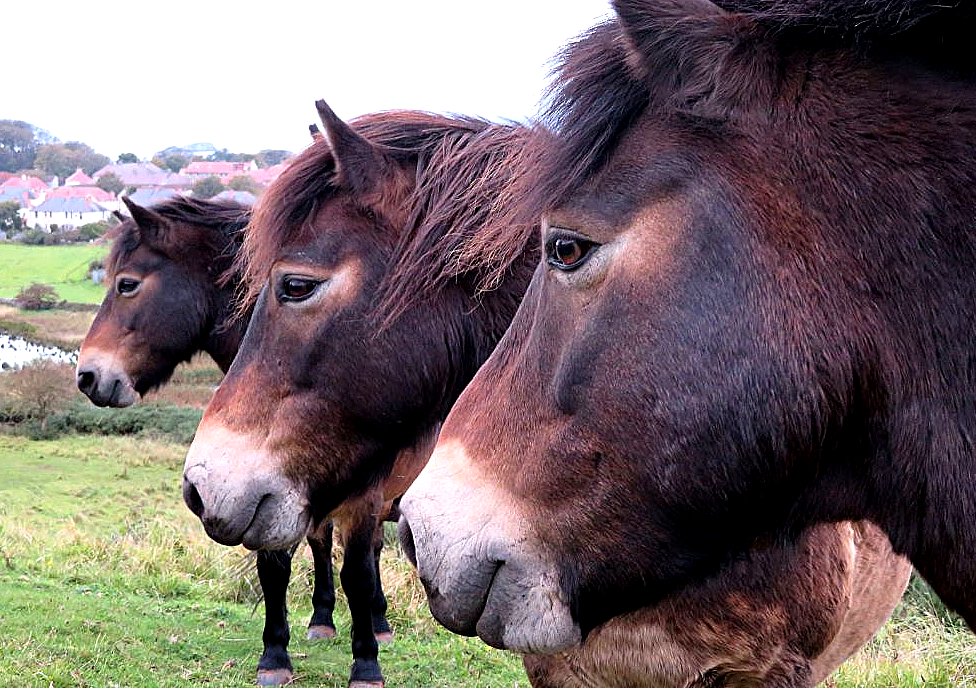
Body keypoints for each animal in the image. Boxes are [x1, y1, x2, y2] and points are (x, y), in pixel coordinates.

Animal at [74, 195, 392, 688]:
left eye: (127, 284)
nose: (87, 376)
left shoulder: (363, 493)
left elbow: (358, 570)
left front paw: (366, 663)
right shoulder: (265, 485)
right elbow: (274, 564)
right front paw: (275, 654)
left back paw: (376, 623)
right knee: (321, 543)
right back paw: (322, 619)